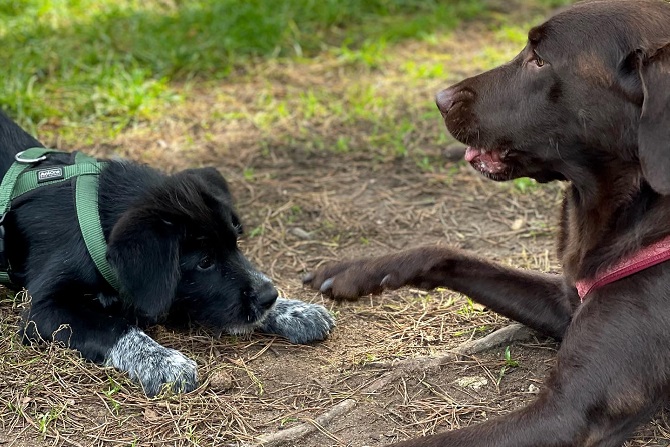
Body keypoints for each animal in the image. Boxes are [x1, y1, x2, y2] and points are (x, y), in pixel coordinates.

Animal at [0, 111, 336, 396]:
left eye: (235, 243)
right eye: (204, 262)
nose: (269, 296)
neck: (94, 217)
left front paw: (294, 310)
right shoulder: (44, 309)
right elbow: (115, 326)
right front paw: (162, 361)